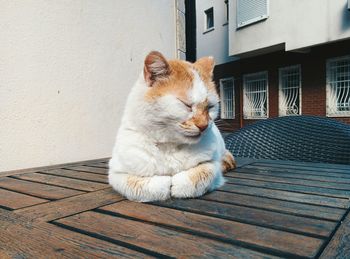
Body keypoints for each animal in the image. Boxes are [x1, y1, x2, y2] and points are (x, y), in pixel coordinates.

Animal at [108, 51, 235, 203]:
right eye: (186, 105)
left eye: (210, 107)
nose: (204, 125)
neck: (170, 145)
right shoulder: (116, 173)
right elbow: (140, 185)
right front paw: (163, 183)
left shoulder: (212, 164)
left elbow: (200, 176)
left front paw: (179, 185)